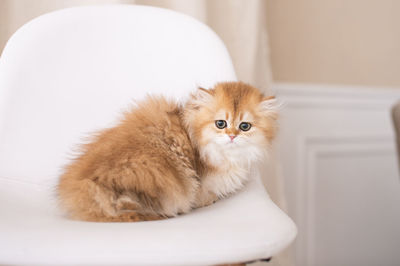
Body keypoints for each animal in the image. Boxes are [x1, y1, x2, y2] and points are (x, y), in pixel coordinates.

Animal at [57, 81, 278, 222]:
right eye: (220, 123)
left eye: (244, 127)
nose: (232, 136)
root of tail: (84, 187)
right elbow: (207, 193)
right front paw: (210, 198)